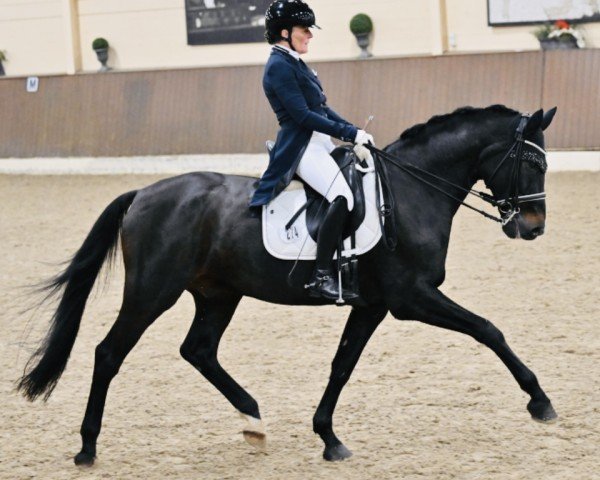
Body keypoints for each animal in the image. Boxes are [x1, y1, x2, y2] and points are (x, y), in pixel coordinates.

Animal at [21, 105, 560, 464]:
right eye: (533, 163)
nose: (534, 227)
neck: (410, 192)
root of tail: (143, 193)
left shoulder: (372, 305)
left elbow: (342, 365)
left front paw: (328, 438)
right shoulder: (411, 297)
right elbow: (488, 329)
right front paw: (540, 401)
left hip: (218, 294)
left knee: (199, 350)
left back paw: (254, 421)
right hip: (153, 292)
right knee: (109, 353)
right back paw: (87, 448)